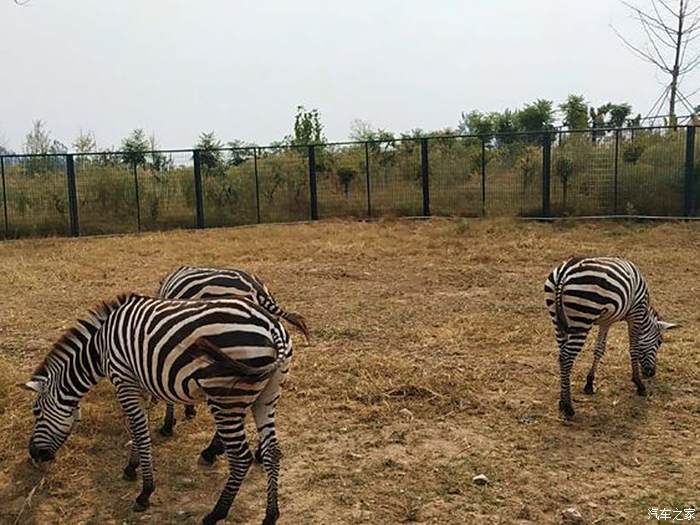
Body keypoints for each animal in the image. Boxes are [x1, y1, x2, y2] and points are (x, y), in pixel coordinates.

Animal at [21, 292, 294, 520]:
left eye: (36, 412)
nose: (34, 454)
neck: (99, 347)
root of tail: (272, 327)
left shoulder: (123, 380)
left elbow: (140, 432)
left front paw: (145, 492)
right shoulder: (140, 382)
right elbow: (139, 427)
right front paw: (132, 467)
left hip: (224, 396)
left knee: (240, 457)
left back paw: (215, 514)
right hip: (266, 395)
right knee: (272, 451)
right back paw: (271, 515)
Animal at [540, 256, 680, 418]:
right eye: (660, 342)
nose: (651, 373)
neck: (644, 312)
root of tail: (564, 272)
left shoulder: (606, 321)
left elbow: (599, 349)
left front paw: (589, 383)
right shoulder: (635, 314)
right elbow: (634, 348)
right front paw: (639, 384)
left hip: (557, 319)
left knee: (561, 355)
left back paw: (562, 402)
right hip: (582, 318)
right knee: (566, 358)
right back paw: (568, 407)